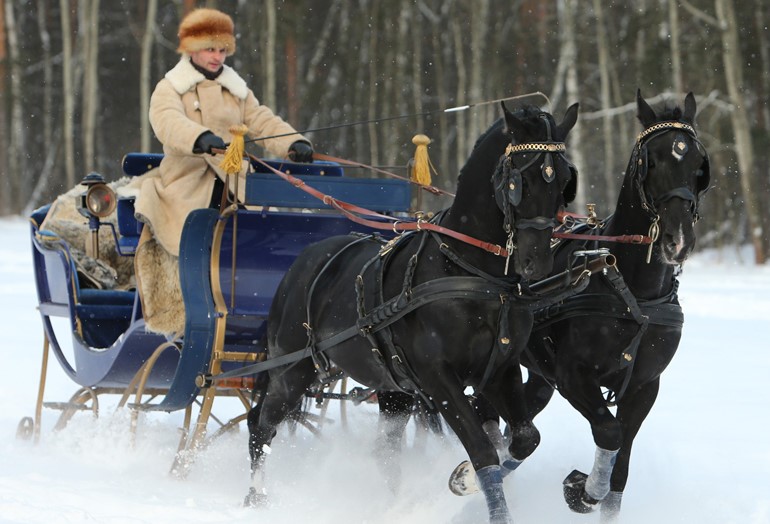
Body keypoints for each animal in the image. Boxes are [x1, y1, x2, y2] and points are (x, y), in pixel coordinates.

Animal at [244, 102, 576, 524]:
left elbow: (523, 439)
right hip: (293, 370)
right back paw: (255, 496)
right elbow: (483, 448)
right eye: (520, 180)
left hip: (392, 389)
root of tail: (301, 261)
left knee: (385, 452)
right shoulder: (438, 379)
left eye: (564, 180)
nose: (538, 261)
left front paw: (463, 478)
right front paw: (472, 485)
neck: (470, 271)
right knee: (261, 426)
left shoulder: (500, 370)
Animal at [450, 90, 708, 520]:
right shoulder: (573, 376)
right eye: (651, 161)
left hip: (537, 370)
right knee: (493, 415)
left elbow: (621, 464)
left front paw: (594, 493)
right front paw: (581, 490)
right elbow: (609, 431)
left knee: (523, 412)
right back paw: (474, 473)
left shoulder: (644, 387)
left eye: (698, 166)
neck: (632, 292)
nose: (678, 239)